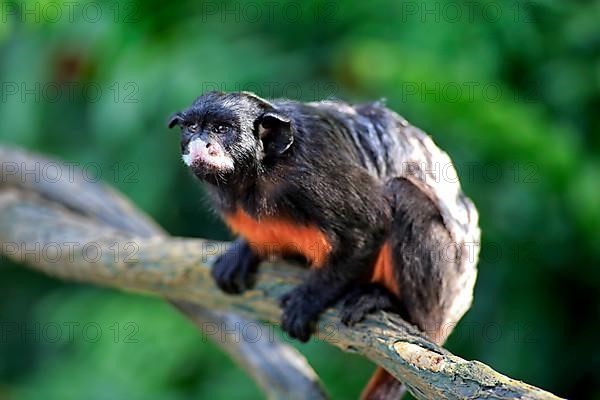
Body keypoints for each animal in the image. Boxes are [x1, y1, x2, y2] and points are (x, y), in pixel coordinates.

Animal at [170, 91, 482, 400]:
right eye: (193, 128)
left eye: (222, 129)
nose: (201, 143)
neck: (265, 168)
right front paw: (244, 251)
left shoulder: (314, 173)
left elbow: (370, 225)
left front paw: (310, 299)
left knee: (405, 195)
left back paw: (389, 301)